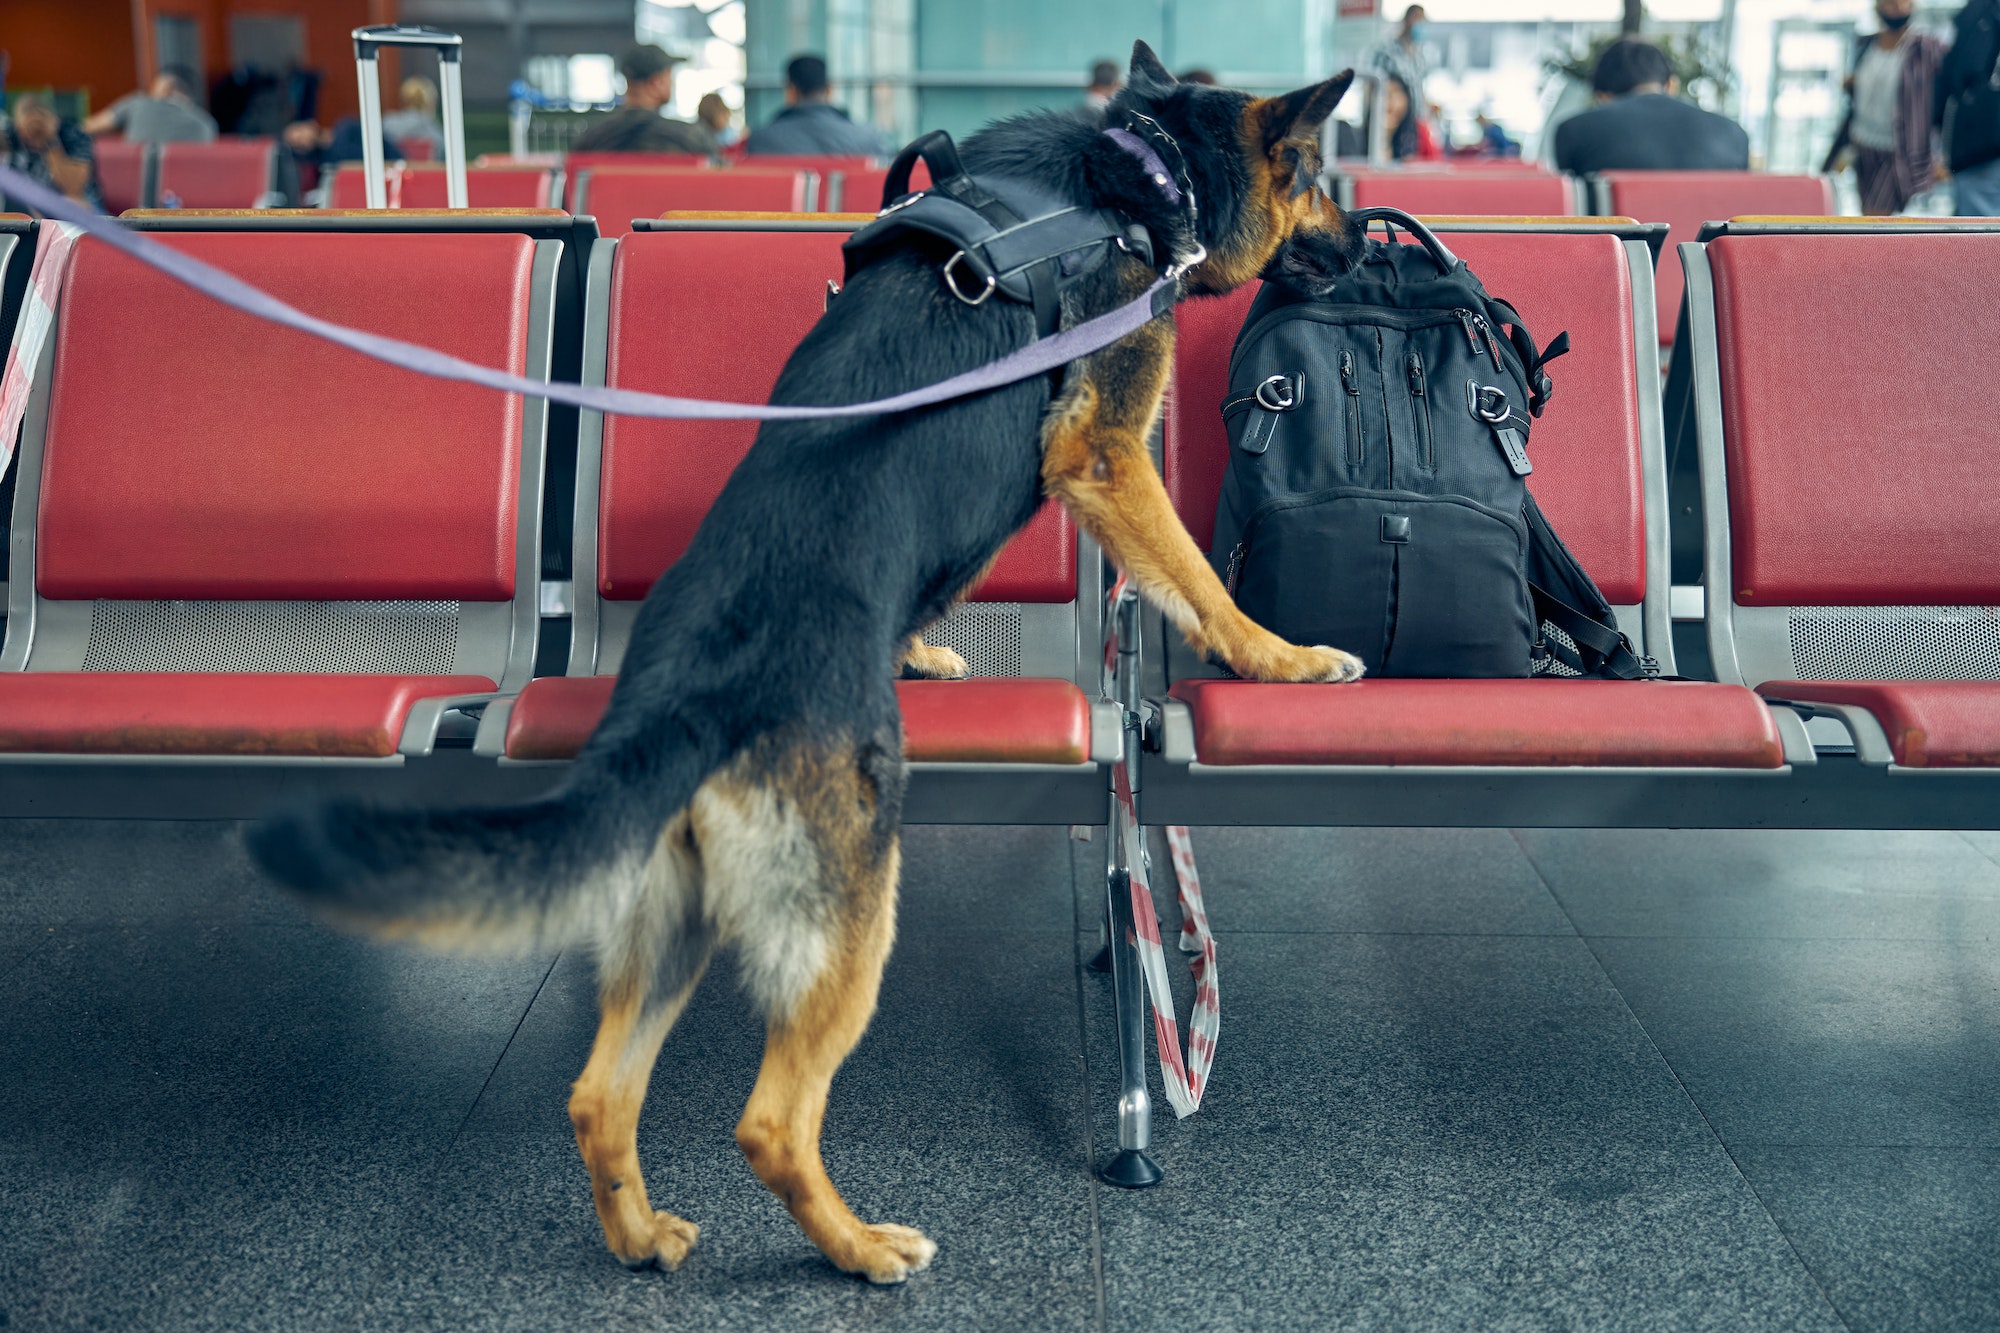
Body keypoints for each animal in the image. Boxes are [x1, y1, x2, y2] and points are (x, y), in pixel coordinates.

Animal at [250, 41, 1368, 1280]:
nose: (1369, 242)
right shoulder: (1104, 448)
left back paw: (641, 1236)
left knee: (597, 1093)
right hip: (852, 900)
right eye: (1320, 177)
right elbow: (1197, 580)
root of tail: (684, 698)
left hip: (677, 915)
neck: (1139, 162)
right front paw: (1279, 657)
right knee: (770, 1121)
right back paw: (859, 1247)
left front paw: (920, 645)